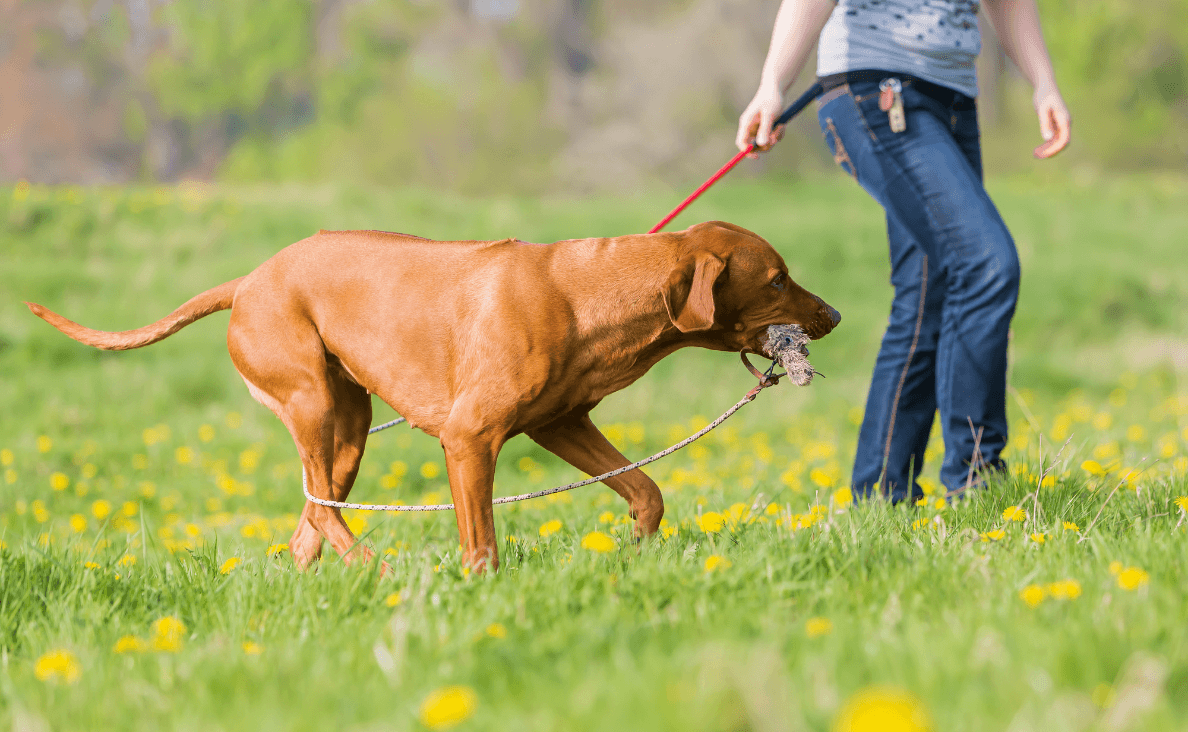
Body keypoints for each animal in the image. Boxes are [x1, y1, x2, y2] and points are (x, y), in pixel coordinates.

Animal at [30, 219, 845, 568]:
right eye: (778, 280)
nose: (834, 316)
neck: (595, 291)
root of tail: (247, 280)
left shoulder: (561, 424)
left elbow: (646, 491)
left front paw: (638, 552)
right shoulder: (469, 438)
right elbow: (480, 541)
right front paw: (483, 593)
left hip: (351, 427)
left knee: (310, 519)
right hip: (313, 402)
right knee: (320, 508)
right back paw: (373, 568)